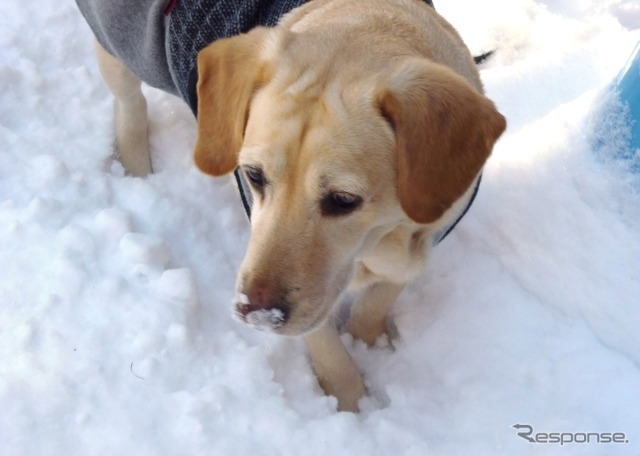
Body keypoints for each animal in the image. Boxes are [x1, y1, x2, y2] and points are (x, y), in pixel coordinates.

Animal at [77, 0, 504, 410]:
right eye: (253, 175)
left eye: (343, 200)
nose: (256, 312)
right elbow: (325, 345)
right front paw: (351, 400)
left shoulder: (427, 237)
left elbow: (378, 301)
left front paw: (366, 341)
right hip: (121, 50)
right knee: (129, 102)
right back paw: (136, 168)